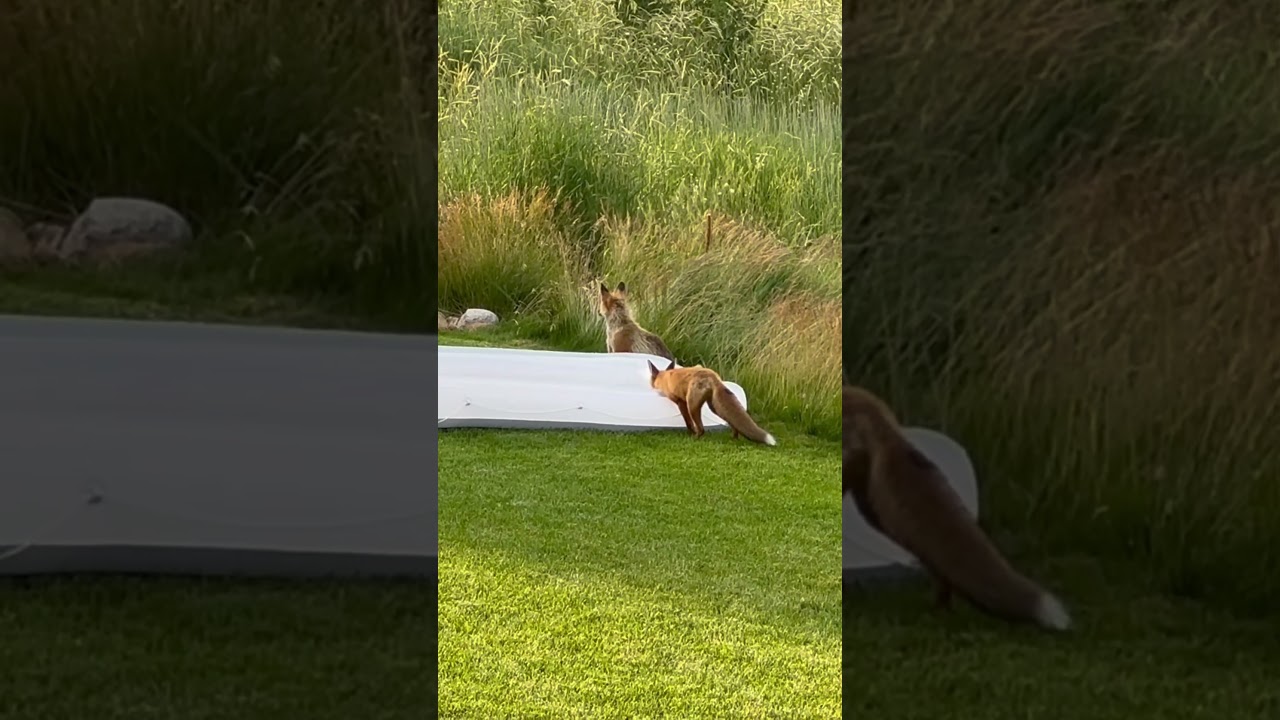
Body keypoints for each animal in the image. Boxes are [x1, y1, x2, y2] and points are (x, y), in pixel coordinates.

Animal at [648, 359, 777, 446]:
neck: (664, 377)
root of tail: (713, 376)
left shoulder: (681, 402)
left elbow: (688, 423)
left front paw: (690, 433)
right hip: (715, 407)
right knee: (734, 423)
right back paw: (734, 438)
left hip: (692, 406)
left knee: (701, 429)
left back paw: (694, 439)